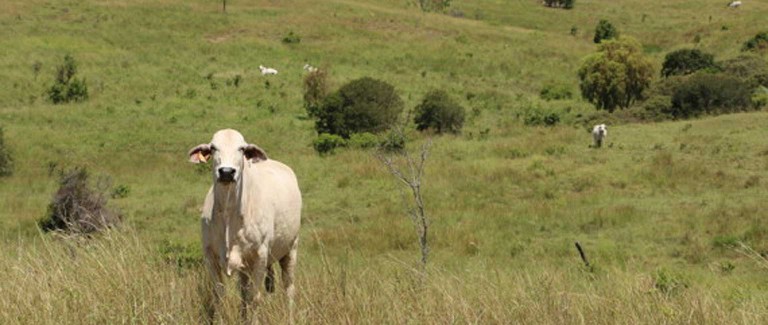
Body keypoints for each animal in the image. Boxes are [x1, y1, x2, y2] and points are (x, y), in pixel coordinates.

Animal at [188, 129, 302, 322]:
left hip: (290, 249)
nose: (226, 172)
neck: (228, 214)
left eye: (241, 148)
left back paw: (290, 318)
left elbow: (255, 298)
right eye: (213, 147)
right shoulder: (210, 256)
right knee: (243, 293)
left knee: (289, 288)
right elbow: (219, 296)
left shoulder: (260, 256)